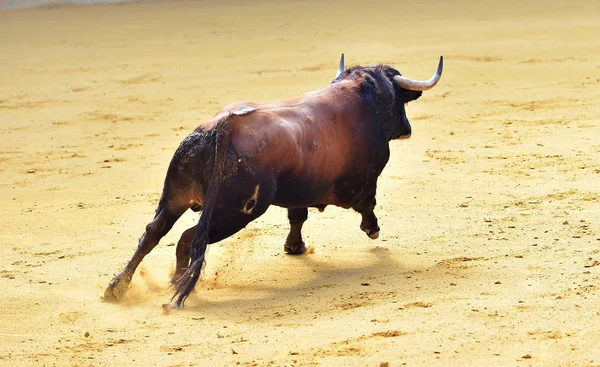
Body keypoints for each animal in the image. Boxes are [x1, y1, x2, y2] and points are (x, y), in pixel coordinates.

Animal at [103, 54, 442, 308]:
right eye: (400, 102)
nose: (407, 128)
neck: (364, 96)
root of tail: (224, 127)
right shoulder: (362, 182)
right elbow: (366, 204)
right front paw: (372, 229)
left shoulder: (300, 190)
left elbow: (297, 216)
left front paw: (294, 246)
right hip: (236, 212)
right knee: (191, 237)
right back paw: (178, 283)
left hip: (175, 196)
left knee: (153, 233)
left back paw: (118, 286)